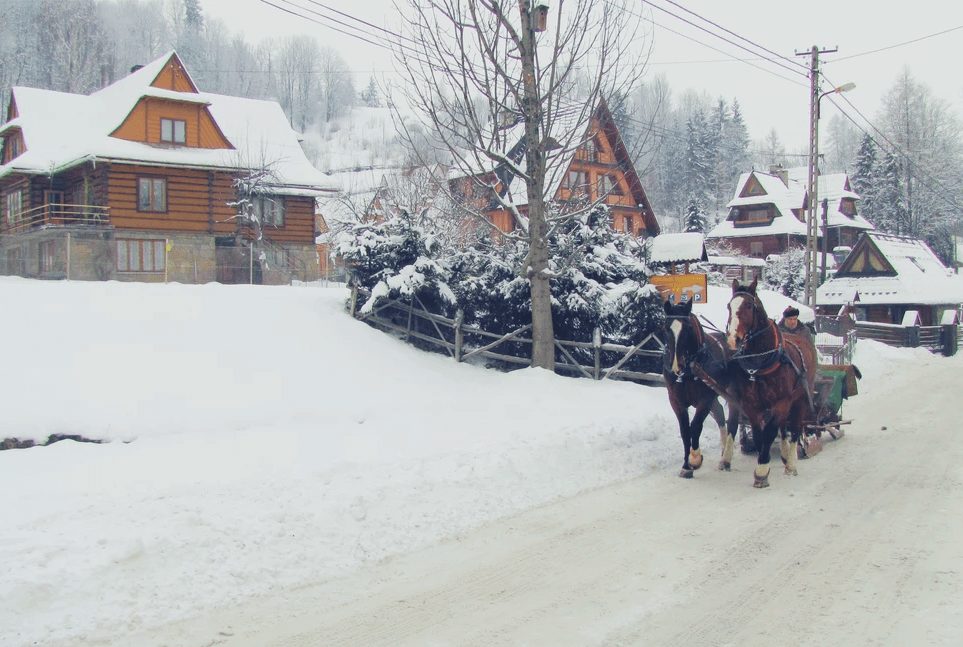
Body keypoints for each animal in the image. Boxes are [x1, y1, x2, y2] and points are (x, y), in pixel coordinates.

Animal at [660, 302, 740, 478]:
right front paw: (686, 466)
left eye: (688, 327)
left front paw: (695, 459)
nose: (676, 366)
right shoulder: (676, 400)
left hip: (732, 393)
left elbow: (695, 426)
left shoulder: (705, 399)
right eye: (666, 328)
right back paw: (723, 449)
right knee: (720, 414)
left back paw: (727, 457)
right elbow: (685, 430)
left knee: (733, 420)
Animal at [728, 280, 816, 488]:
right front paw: (763, 461)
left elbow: (769, 432)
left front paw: (761, 471)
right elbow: (759, 434)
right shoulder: (751, 405)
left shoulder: (781, 402)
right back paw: (784, 454)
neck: (761, 363)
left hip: (800, 399)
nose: (733, 339)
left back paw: (791, 463)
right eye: (729, 306)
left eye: (749, 306)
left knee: (795, 428)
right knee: (783, 427)